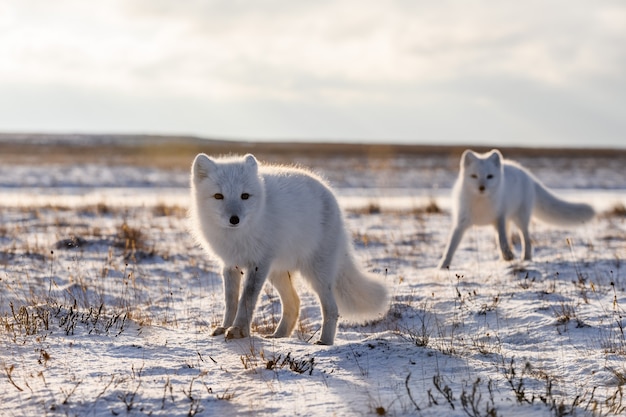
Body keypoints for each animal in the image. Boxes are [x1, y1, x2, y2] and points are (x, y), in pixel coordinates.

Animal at [188, 153, 388, 344]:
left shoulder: (258, 264)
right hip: (277, 272)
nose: (234, 219)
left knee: (331, 309)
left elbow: (247, 299)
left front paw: (238, 330)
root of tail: (330, 193)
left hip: (316, 274)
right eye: (218, 196)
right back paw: (279, 336)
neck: (238, 235)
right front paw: (225, 327)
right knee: (294, 303)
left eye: (244, 196)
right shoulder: (230, 265)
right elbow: (230, 301)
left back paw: (324, 342)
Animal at [436, 148, 592, 268]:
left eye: (489, 176)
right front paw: (443, 266)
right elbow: (450, 246)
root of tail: (527, 174)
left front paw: (508, 255)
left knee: (526, 239)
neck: (481, 204)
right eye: (474, 176)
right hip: (510, 221)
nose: (482, 188)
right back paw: (503, 259)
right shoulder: (461, 223)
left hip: (520, 219)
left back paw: (526, 258)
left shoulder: (500, 217)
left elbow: (502, 240)